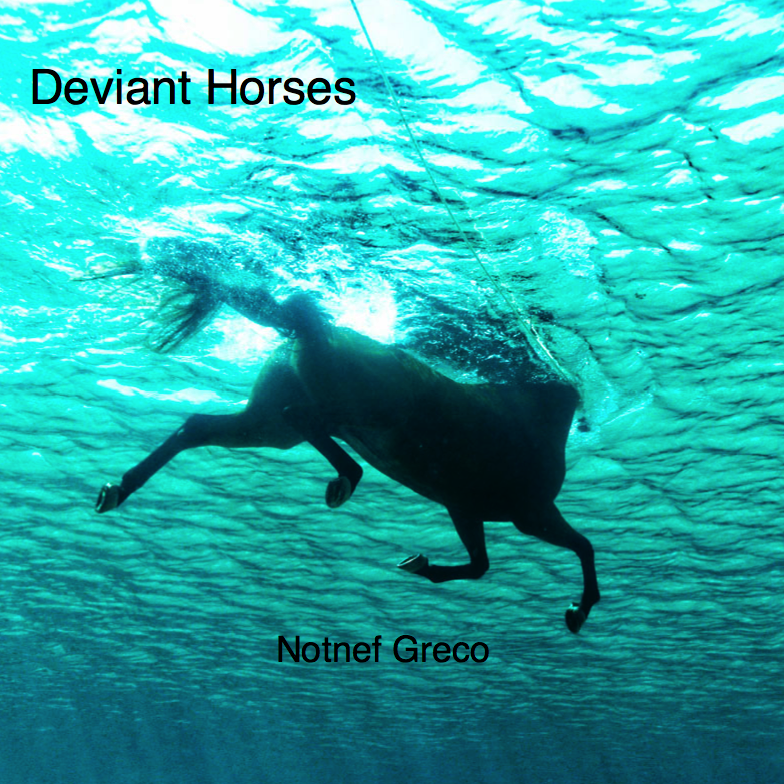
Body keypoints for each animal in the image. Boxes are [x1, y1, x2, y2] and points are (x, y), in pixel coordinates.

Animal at [92, 267, 600, 633]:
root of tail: (312, 329)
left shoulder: (467, 506)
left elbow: (482, 564)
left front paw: (421, 565)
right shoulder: (530, 514)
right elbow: (578, 547)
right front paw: (579, 609)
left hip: (267, 425)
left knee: (200, 427)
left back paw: (116, 490)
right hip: (356, 414)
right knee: (304, 420)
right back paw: (345, 481)